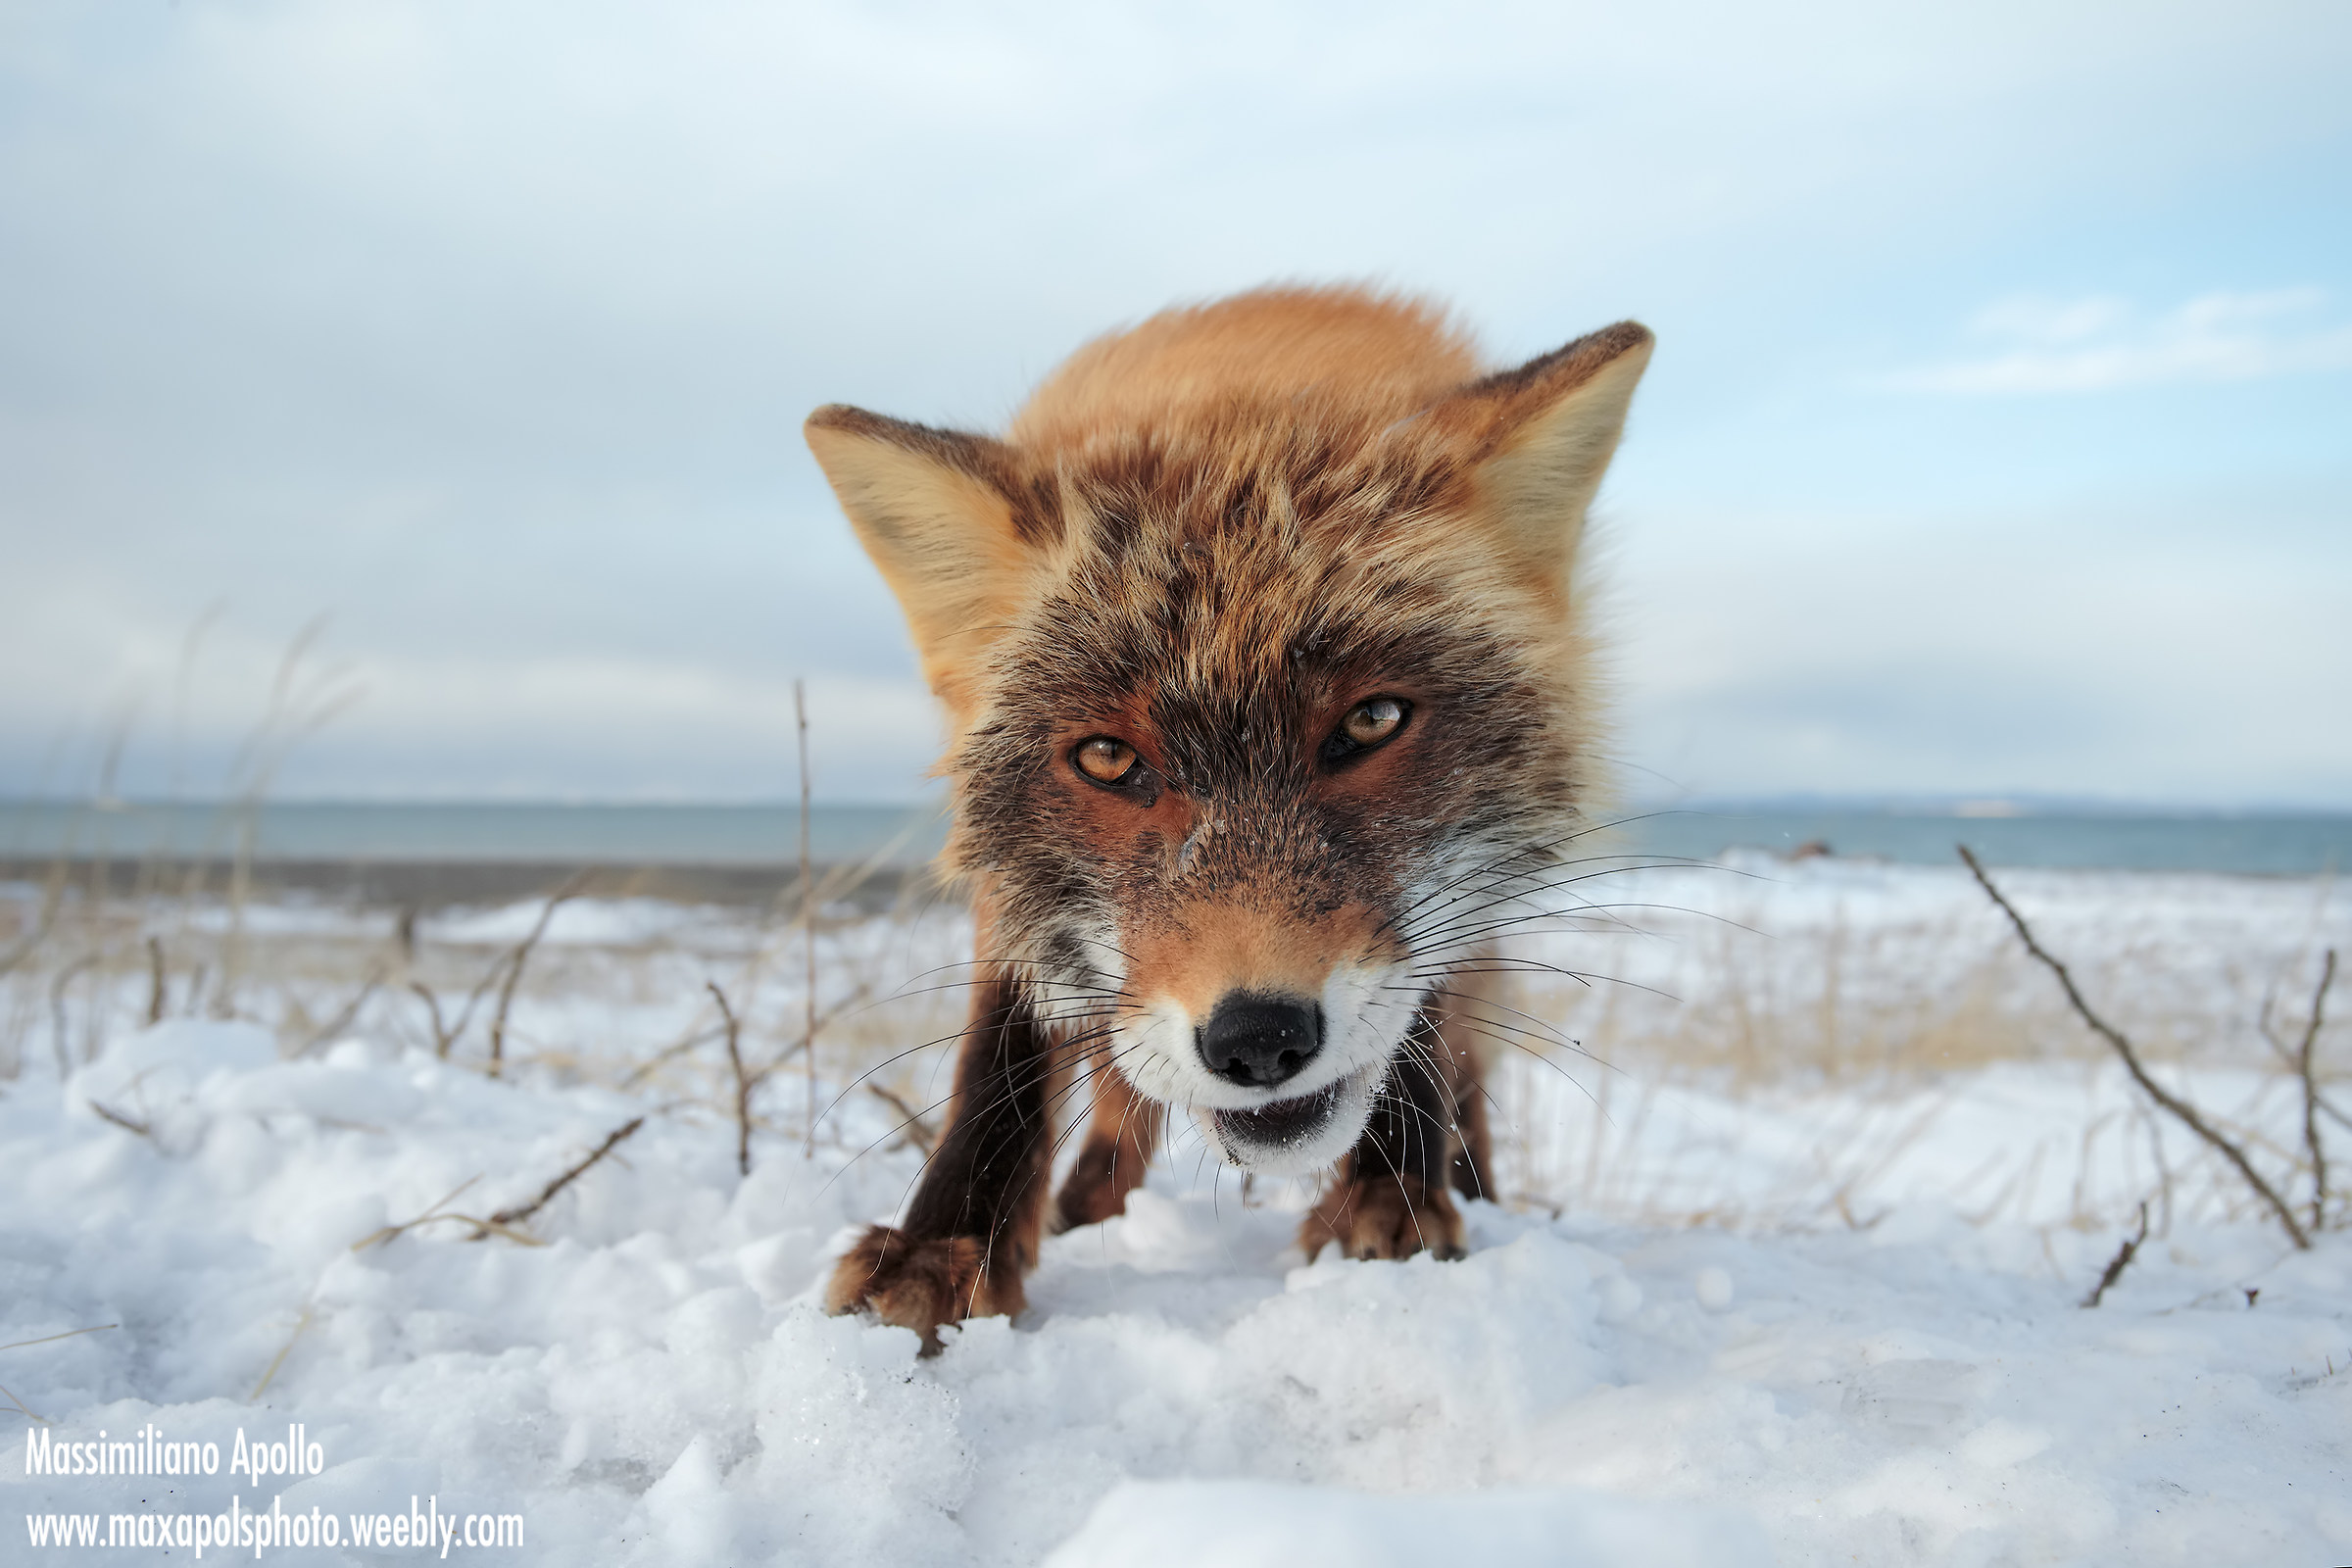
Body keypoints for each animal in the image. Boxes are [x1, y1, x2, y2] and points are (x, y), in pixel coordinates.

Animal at [806, 285, 1650, 1351]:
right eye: (1107, 758)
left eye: (1373, 721)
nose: (1259, 1040)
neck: (1238, 380)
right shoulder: (1013, 886)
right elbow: (1004, 1052)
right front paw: (943, 1246)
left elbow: (1417, 1027)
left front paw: (1396, 1195)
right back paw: (1093, 1203)